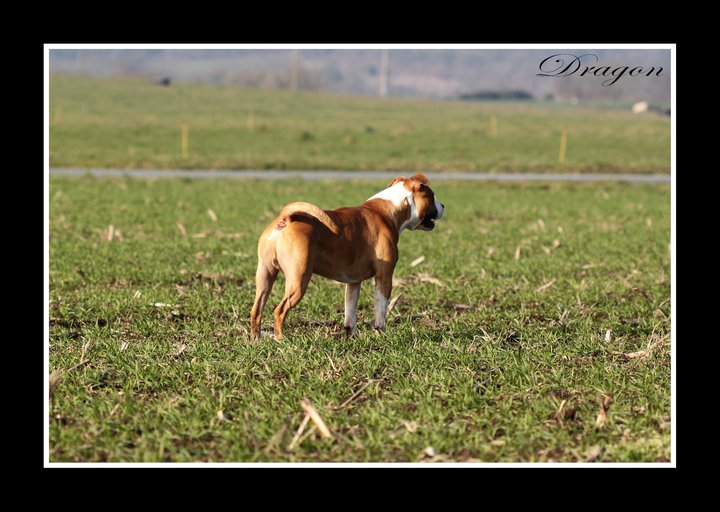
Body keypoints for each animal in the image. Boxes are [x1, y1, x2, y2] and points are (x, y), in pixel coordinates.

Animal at [253, 173, 444, 340]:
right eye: (432, 196)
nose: (443, 205)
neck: (389, 209)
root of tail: (285, 218)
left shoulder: (353, 283)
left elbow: (350, 313)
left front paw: (351, 335)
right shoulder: (384, 277)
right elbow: (381, 309)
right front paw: (382, 334)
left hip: (265, 276)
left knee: (256, 311)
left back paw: (256, 340)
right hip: (298, 280)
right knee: (279, 311)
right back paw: (281, 339)